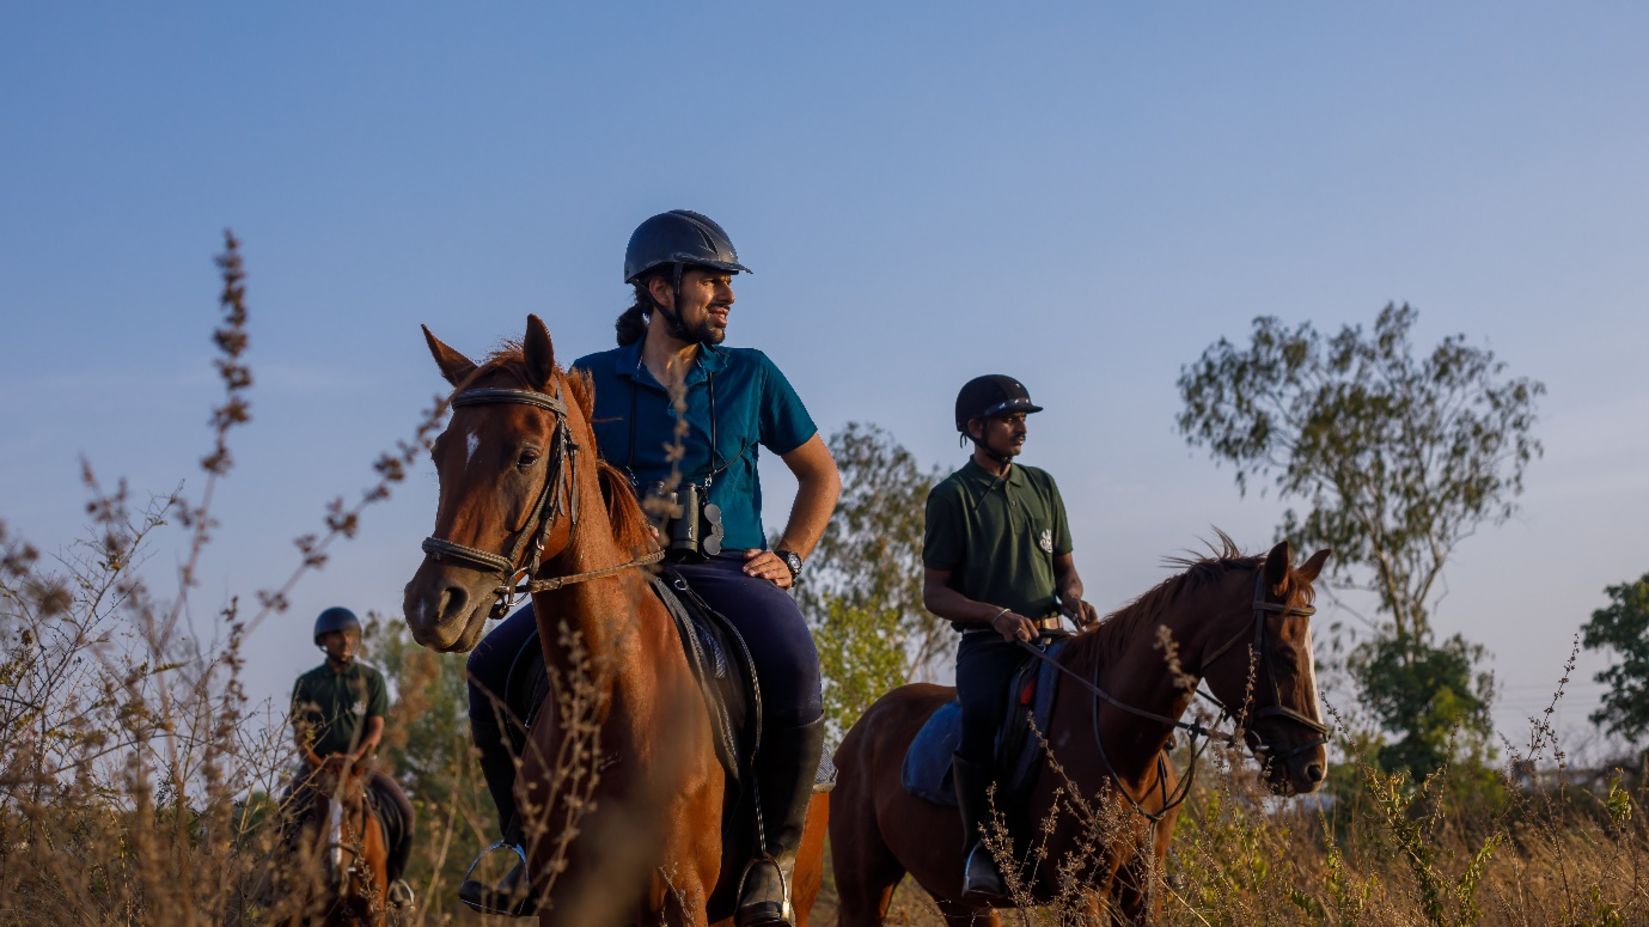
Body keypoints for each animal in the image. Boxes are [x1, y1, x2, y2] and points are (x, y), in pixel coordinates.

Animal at [397, 313, 831, 917]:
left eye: (526, 455)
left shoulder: (683, 898)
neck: (611, 702)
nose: (432, 604)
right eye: (440, 455)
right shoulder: (566, 900)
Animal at [831, 537, 1332, 917]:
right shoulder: (1080, 893)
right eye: (1285, 657)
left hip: (959, 901)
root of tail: (861, 731)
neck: (1120, 741)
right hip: (864, 888)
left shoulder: (1139, 892)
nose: (1313, 768)